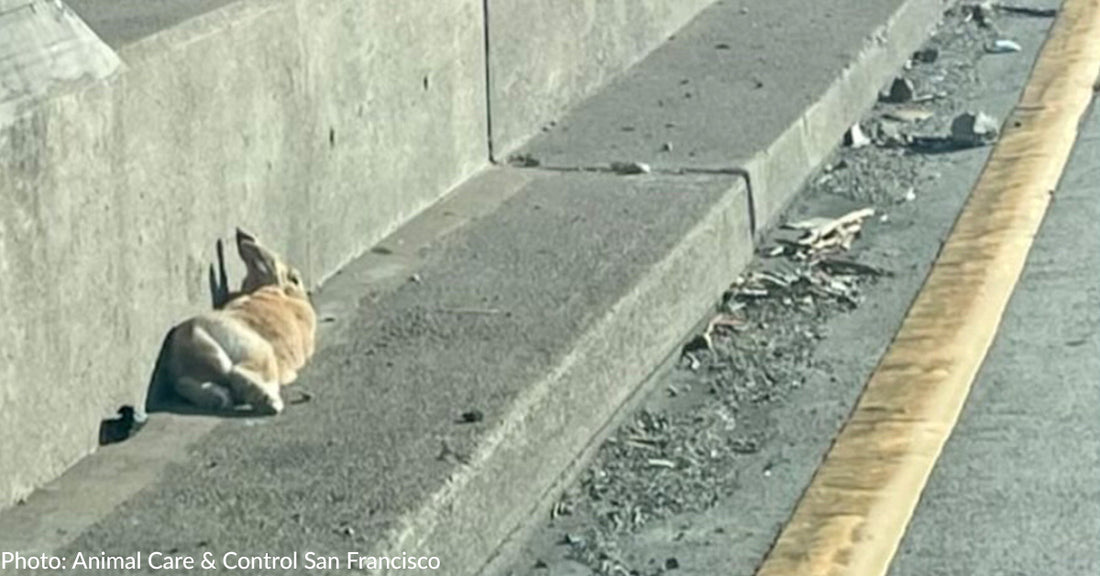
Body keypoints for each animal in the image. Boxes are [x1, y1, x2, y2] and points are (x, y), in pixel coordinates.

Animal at [165, 228, 316, 413]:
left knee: (190, 383)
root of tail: (194, 335)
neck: (286, 293)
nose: (241, 233)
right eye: (294, 278)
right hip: (245, 341)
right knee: (242, 371)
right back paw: (267, 401)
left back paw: (221, 398)